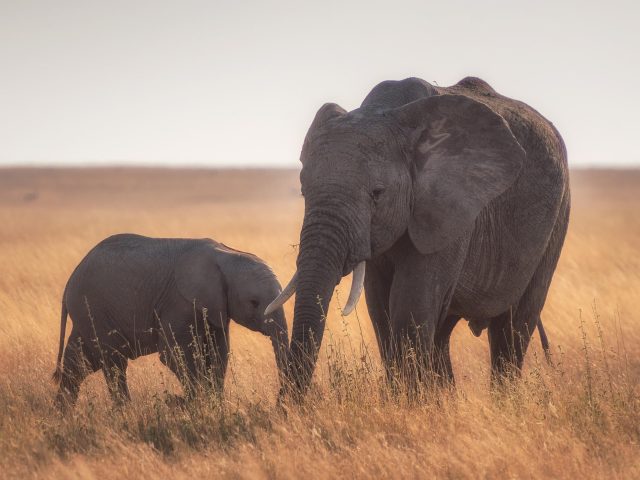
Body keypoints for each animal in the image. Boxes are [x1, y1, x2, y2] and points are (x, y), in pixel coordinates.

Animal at [52, 234, 288, 406]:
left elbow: (218, 353)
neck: (227, 255)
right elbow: (174, 354)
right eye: (254, 302)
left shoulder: (216, 308)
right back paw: (125, 412)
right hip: (93, 309)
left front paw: (214, 405)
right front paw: (197, 405)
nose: (280, 402)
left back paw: (63, 416)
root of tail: (70, 280)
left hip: (88, 314)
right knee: (113, 362)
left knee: (79, 363)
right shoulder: (178, 303)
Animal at [266, 77, 568, 396]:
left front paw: (410, 402)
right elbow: (380, 307)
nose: (288, 404)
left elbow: (410, 305)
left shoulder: (449, 208)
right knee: (443, 333)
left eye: (377, 193)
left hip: (557, 218)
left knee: (513, 328)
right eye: (303, 191)